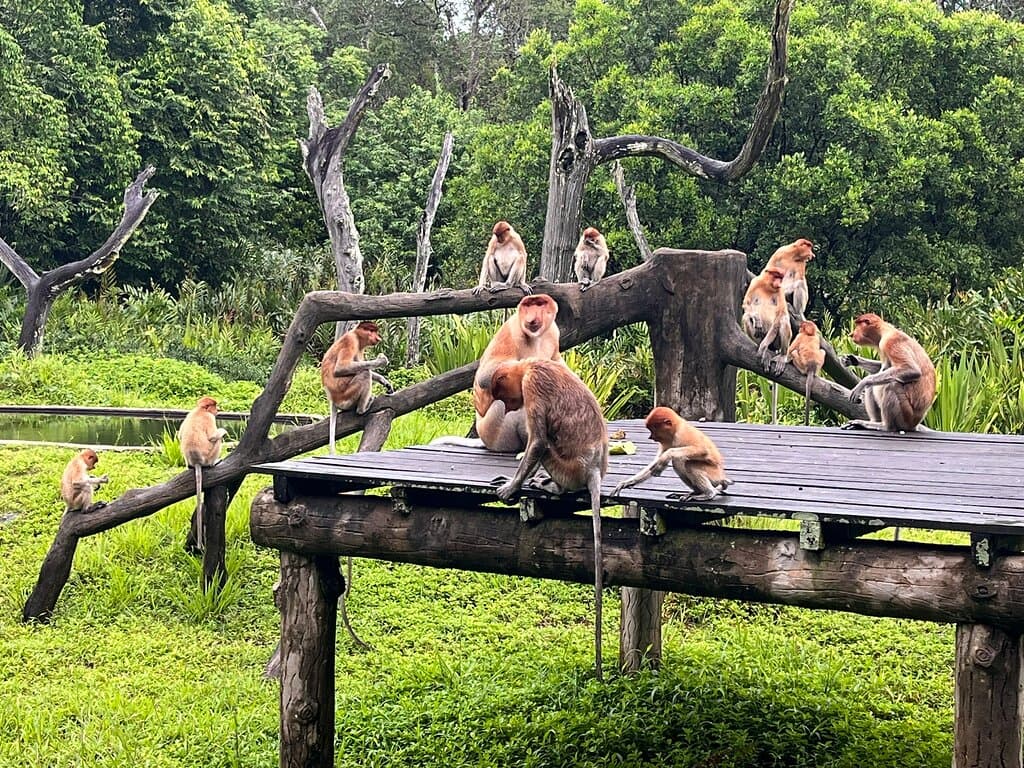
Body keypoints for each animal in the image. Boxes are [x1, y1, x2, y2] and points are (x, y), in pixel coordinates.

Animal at [179, 396, 228, 546]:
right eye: (214, 406)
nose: (218, 410)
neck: (200, 410)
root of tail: (197, 462)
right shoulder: (209, 418)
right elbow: (212, 436)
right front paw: (224, 431)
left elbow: (179, 435)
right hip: (209, 455)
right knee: (217, 441)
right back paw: (214, 463)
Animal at [320, 321, 394, 455]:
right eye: (372, 331)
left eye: (376, 331)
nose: (378, 338)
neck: (357, 336)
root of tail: (332, 399)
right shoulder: (351, 341)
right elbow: (341, 368)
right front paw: (381, 360)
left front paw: (385, 382)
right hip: (346, 397)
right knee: (364, 373)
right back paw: (363, 408)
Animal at [488, 359, 609, 680]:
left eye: (505, 396)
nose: (510, 407)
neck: (529, 365)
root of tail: (594, 469)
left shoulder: (533, 386)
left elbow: (538, 442)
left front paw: (510, 488)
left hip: (566, 467)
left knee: (546, 447)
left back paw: (551, 485)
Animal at [742, 267, 791, 423]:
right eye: (776, 275)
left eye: (781, 277)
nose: (779, 282)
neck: (767, 286)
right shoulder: (755, 282)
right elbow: (747, 304)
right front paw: (756, 318)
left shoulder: (780, 292)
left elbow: (779, 316)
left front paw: (763, 347)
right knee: (746, 317)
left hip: (777, 342)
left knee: (783, 319)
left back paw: (779, 355)